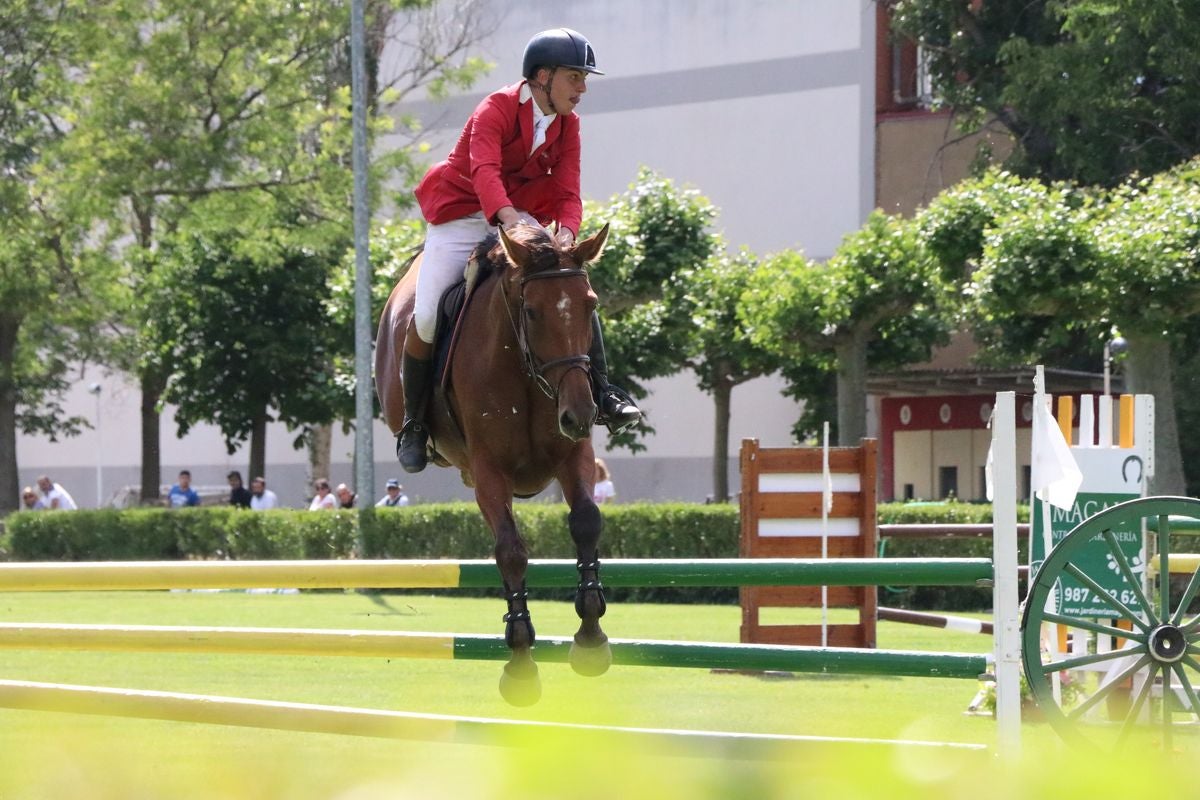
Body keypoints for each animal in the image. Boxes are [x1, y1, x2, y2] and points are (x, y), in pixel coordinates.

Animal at [374, 221, 614, 705]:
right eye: (533, 311)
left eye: (590, 306)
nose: (579, 414)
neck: (525, 372)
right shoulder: (489, 471)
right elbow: (511, 551)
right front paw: (521, 660)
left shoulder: (574, 454)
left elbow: (585, 522)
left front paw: (591, 637)